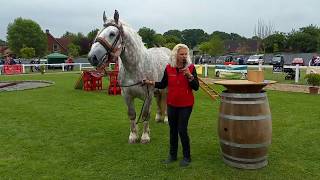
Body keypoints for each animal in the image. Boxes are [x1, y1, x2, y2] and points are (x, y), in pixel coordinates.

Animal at [87, 10, 170, 143]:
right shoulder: (127, 95)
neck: (135, 67)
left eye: (112, 34)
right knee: (158, 102)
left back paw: (166, 119)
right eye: (98, 32)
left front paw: (145, 136)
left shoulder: (148, 96)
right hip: (157, 91)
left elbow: (145, 114)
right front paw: (133, 136)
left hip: (165, 89)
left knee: (166, 103)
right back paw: (158, 117)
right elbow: (132, 114)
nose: (92, 57)